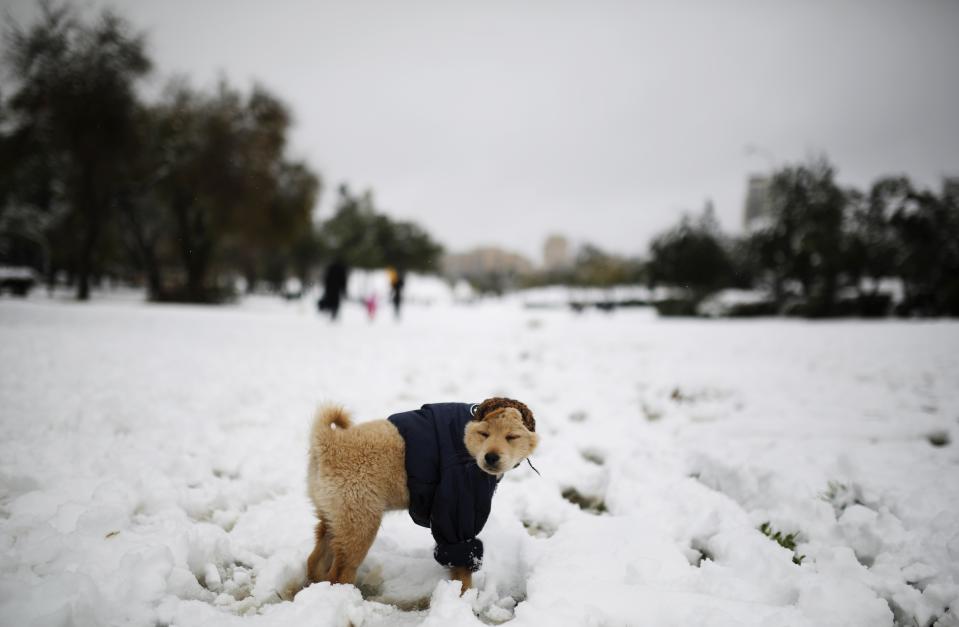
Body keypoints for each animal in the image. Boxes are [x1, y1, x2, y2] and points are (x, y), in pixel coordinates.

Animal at [312, 400, 544, 592]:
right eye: (484, 434)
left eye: (512, 437)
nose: (491, 457)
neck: (465, 442)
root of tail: (328, 442)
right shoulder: (458, 503)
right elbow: (461, 561)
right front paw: (463, 596)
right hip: (360, 521)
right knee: (339, 573)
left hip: (334, 516)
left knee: (315, 560)